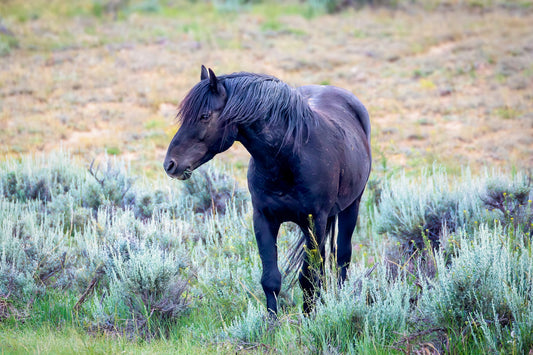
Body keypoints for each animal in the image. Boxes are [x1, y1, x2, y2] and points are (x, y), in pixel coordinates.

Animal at [165, 66, 370, 314]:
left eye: (204, 116)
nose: (170, 164)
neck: (289, 157)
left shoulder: (315, 221)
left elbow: (307, 278)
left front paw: (309, 317)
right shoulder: (264, 219)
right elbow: (271, 279)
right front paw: (272, 321)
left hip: (351, 207)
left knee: (342, 257)